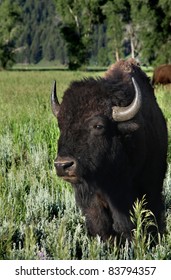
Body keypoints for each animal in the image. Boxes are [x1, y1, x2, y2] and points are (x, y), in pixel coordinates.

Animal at [50, 59, 167, 243]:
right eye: (60, 124)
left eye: (99, 126)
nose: (63, 165)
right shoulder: (91, 200)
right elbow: (102, 227)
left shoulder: (147, 190)